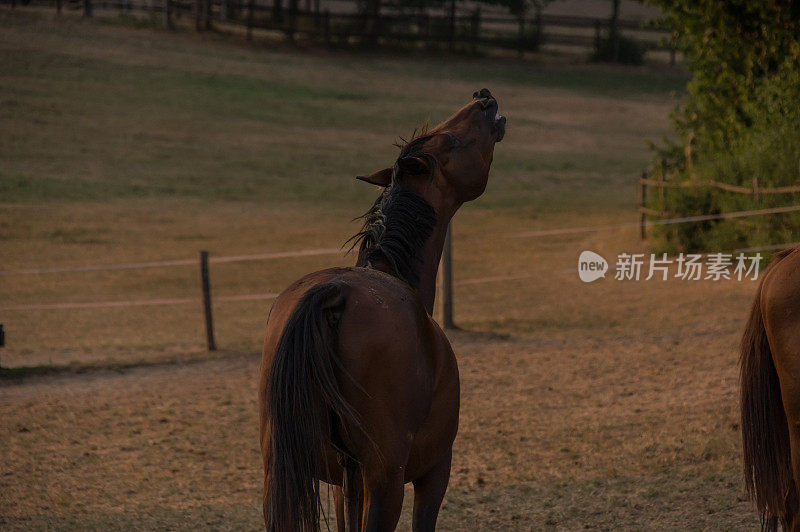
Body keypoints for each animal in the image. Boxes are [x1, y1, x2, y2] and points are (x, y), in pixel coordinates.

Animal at [258, 89, 506, 528]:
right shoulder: (433, 473)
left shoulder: (345, 484)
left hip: (283, 472)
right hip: (387, 482)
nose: (483, 97)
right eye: (450, 138)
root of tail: (334, 293)